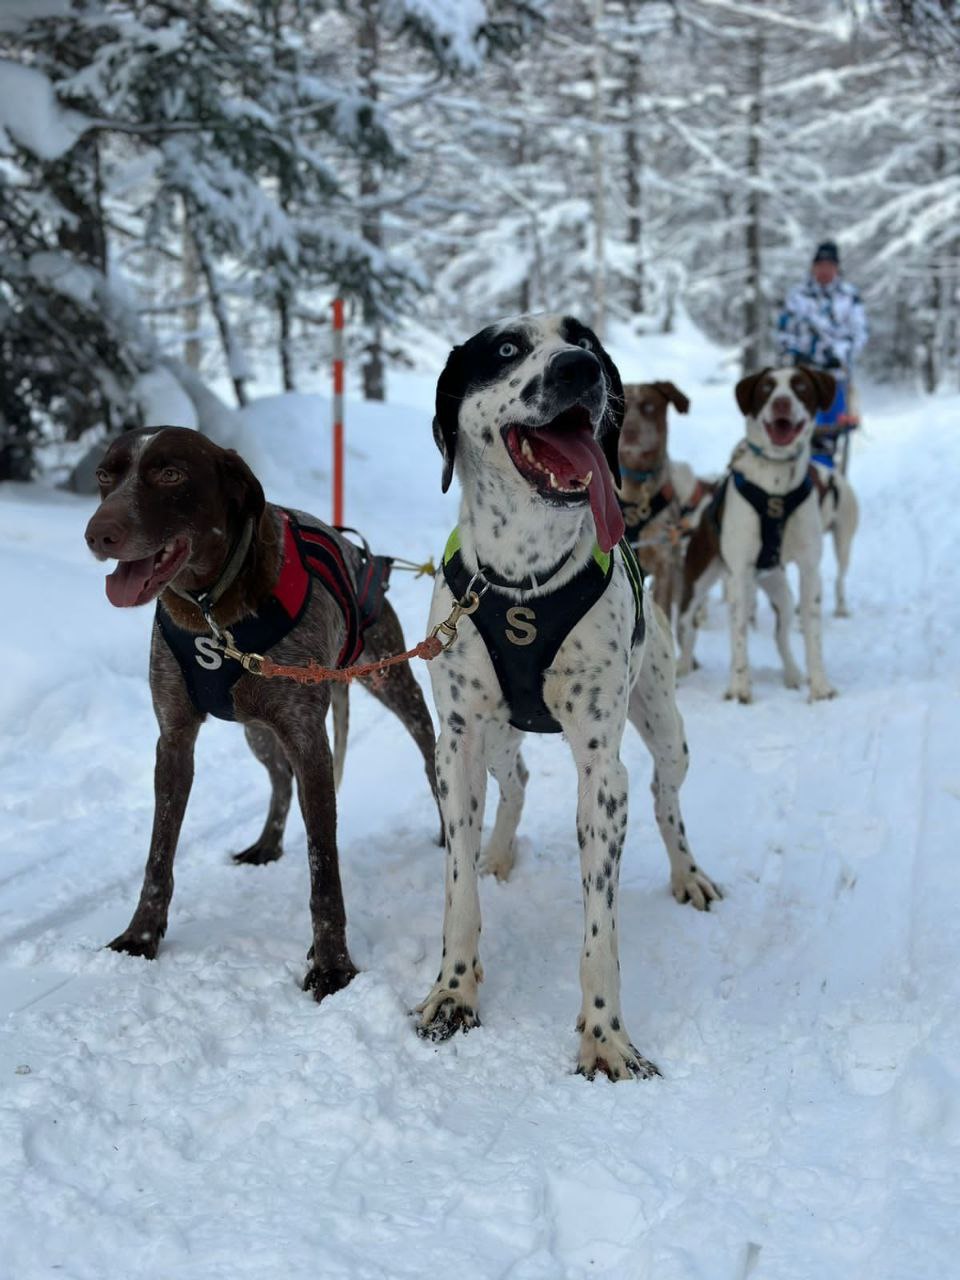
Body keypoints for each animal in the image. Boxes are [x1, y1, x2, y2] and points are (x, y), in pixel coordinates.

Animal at [86, 427, 440, 998]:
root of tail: (366, 557)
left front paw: (332, 965)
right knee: (279, 781)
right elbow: (158, 857)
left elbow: (324, 870)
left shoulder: (309, 740)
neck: (211, 610)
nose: (98, 535)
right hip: (257, 732)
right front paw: (141, 936)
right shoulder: (174, 741)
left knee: (430, 753)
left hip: (391, 682)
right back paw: (267, 844)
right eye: (104, 474)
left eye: (170, 473)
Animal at [675, 366, 839, 706]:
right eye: (766, 388)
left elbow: (812, 634)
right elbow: (738, 637)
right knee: (687, 626)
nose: (781, 403)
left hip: (778, 589)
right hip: (699, 583)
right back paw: (682, 668)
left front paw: (819, 686)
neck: (776, 484)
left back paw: (792, 674)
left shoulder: (809, 569)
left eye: (800, 386)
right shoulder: (739, 572)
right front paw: (739, 689)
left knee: (781, 634)